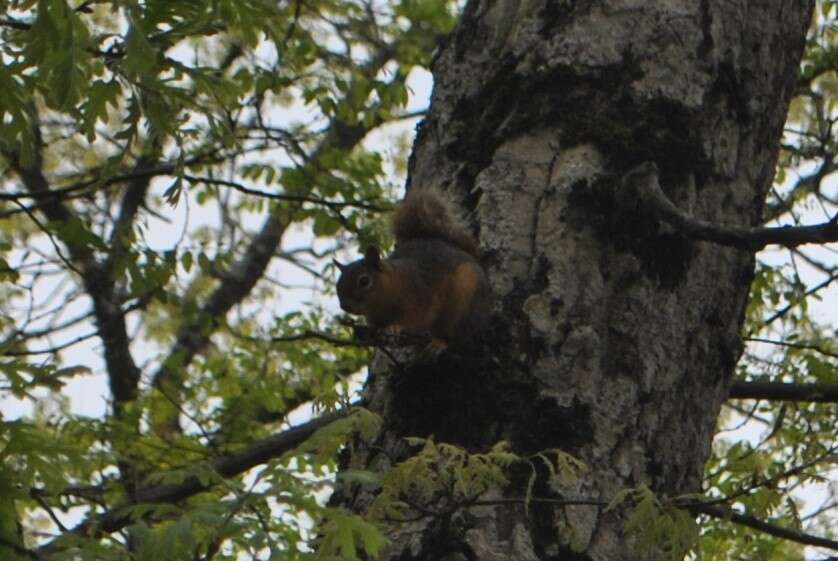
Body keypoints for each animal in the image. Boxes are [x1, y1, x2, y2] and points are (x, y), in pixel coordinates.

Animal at [334, 188, 492, 354]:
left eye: (364, 281)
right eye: (337, 285)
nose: (345, 306)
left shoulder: (419, 297)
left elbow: (413, 318)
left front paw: (396, 327)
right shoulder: (374, 318)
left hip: (462, 306)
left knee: (452, 332)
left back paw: (439, 343)